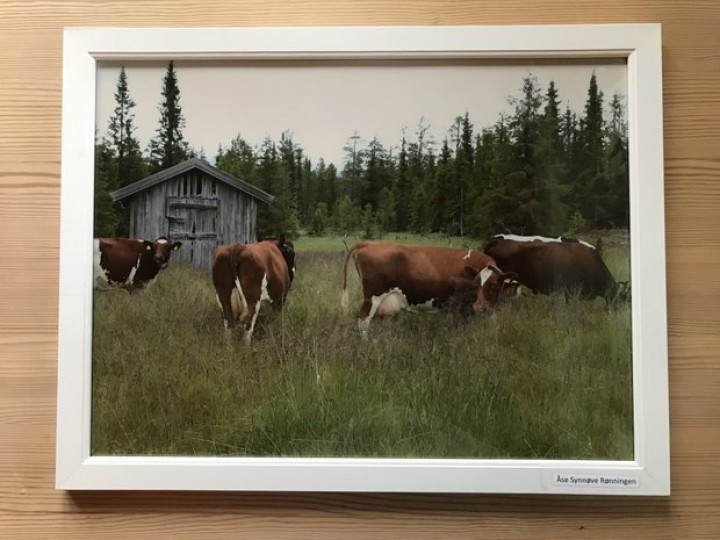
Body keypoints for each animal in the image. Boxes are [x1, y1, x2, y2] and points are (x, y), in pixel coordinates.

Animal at [340, 242, 520, 338]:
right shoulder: (458, 307)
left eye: (494, 285)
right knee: (363, 319)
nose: (479, 307)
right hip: (373, 296)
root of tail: (371, 243)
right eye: (476, 284)